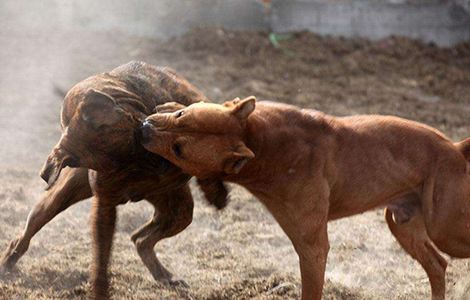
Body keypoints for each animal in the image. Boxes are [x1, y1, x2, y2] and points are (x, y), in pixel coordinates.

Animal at [0, 61, 228, 300]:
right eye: (119, 162)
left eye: (134, 135)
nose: (164, 168)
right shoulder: (105, 207)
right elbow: (101, 256)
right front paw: (100, 289)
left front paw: (215, 190)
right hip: (58, 201)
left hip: (179, 212)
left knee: (143, 238)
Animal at [140, 97, 470, 298]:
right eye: (181, 115)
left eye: (179, 150)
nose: (142, 128)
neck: (258, 141)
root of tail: (454, 148)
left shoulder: (312, 247)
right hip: (402, 224)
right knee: (438, 265)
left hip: (445, 230)